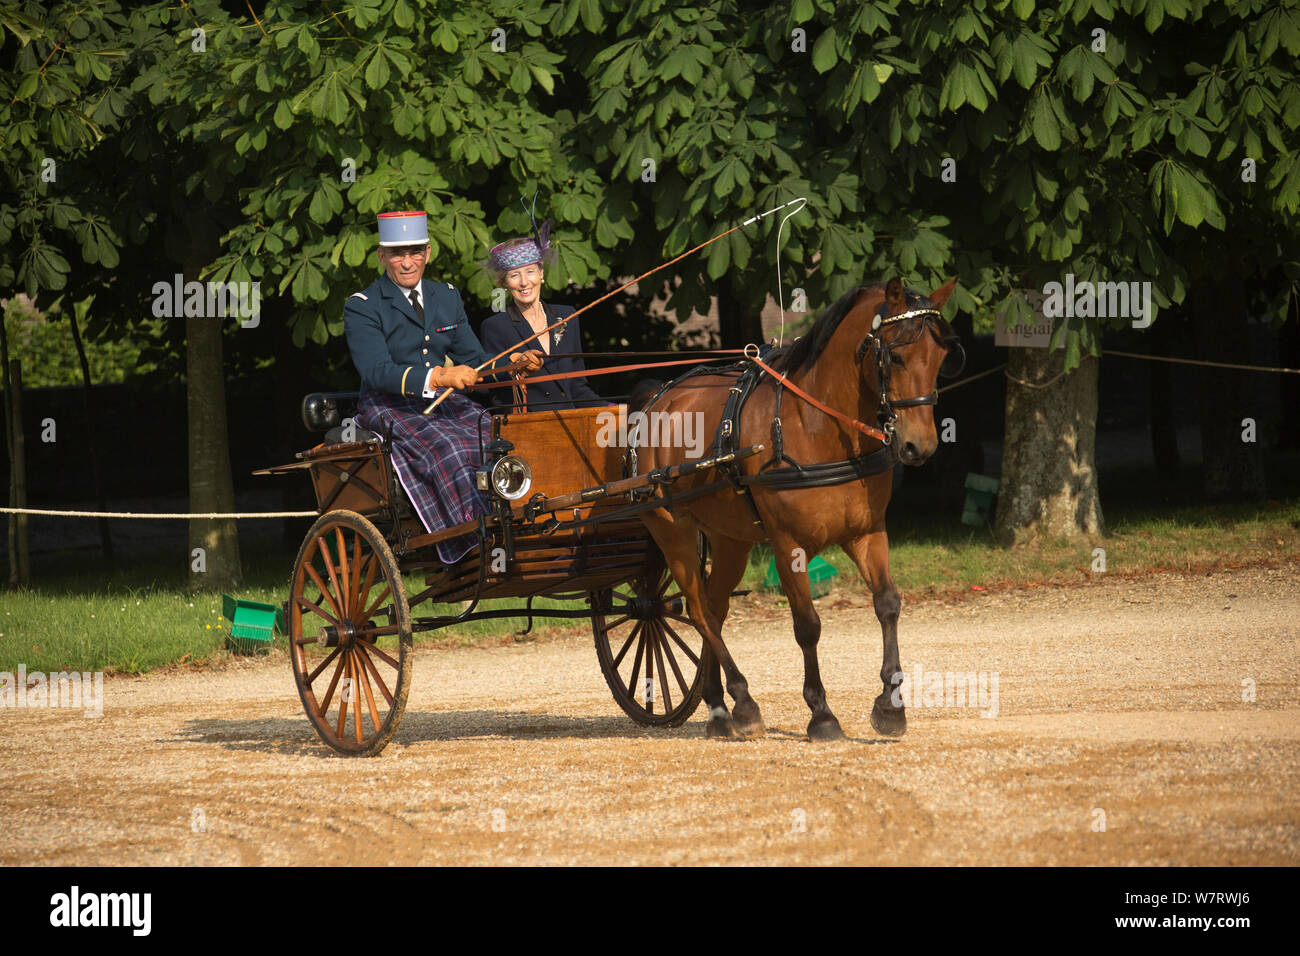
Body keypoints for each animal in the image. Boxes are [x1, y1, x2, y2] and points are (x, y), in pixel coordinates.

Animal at [634, 277, 961, 738]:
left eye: (940, 358)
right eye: (895, 356)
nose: (921, 446)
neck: (818, 427)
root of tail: (657, 402)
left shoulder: (867, 532)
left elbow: (887, 604)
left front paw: (890, 706)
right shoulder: (788, 544)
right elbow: (807, 625)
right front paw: (821, 714)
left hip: (729, 540)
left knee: (714, 609)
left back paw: (718, 707)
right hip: (673, 532)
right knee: (699, 611)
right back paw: (743, 702)